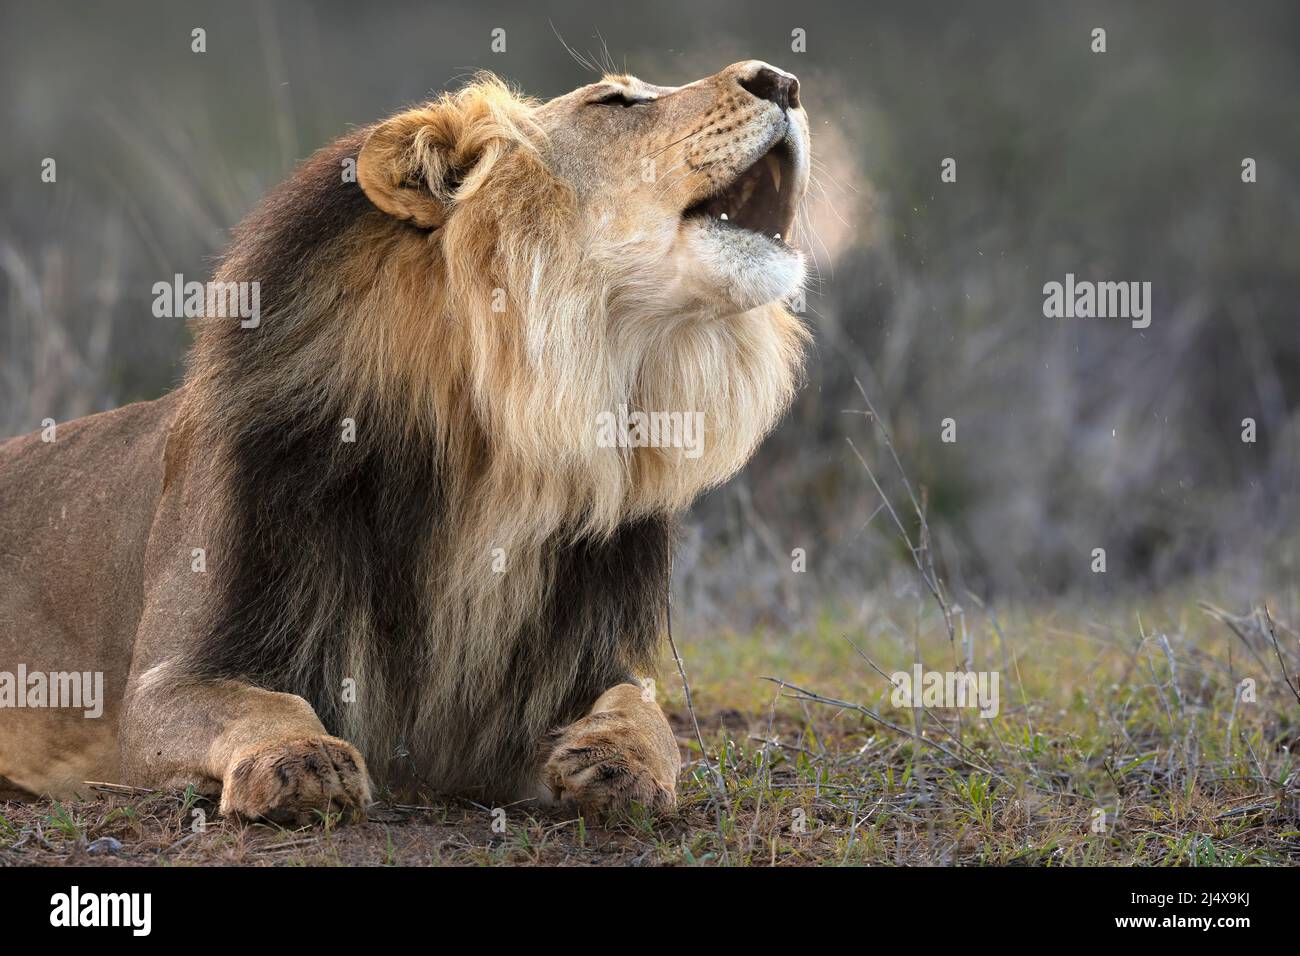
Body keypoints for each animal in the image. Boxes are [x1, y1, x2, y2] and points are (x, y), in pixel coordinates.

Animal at [0, 61, 806, 822]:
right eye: (613, 102)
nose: (784, 81)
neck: (507, 449)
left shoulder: (568, 669)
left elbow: (645, 710)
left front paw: (618, 763)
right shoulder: (169, 679)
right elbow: (265, 702)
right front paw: (301, 763)